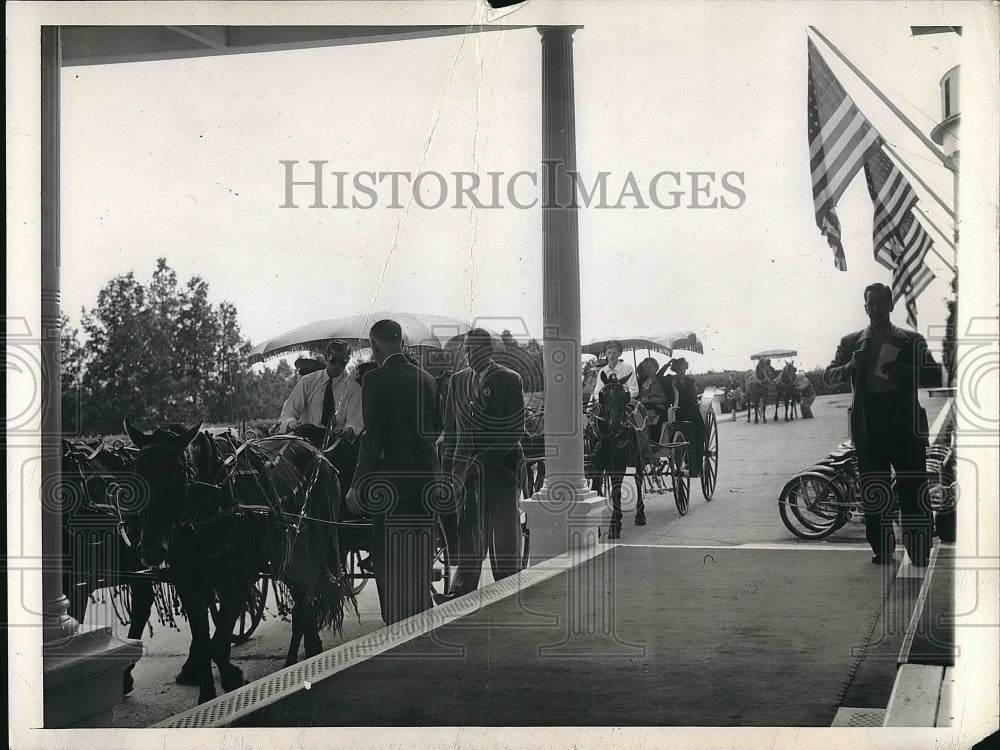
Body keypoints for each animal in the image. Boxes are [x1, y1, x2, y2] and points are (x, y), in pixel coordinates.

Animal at [125, 420, 352, 708]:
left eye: (178, 480)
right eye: (136, 479)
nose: (151, 550)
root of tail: (316, 449)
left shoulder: (238, 578)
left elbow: (218, 641)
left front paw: (231, 676)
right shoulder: (189, 582)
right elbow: (203, 639)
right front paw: (208, 692)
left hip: (313, 542)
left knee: (304, 599)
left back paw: (297, 659)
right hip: (286, 554)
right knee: (304, 596)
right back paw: (310, 646)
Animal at [584, 374, 644, 540]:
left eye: (625, 395)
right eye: (602, 395)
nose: (615, 426)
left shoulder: (619, 463)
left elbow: (616, 491)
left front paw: (615, 526)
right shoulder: (596, 464)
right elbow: (596, 488)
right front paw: (596, 528)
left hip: (638, 456)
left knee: (638, 479)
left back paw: (640, 515)